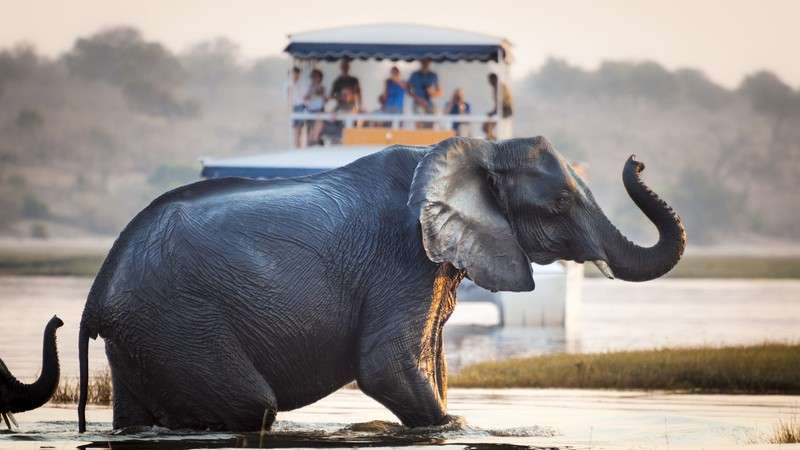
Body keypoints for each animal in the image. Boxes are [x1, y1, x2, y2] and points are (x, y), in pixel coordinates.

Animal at [77, 136, 685, 432]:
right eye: (559, 202)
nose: (637, 160)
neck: (471, 151)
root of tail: (96, 297)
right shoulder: (402, 259)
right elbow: (386, 366)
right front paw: (454, 426)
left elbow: (430, 365)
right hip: (181, 323)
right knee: (252, 406)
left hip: (146, 337)